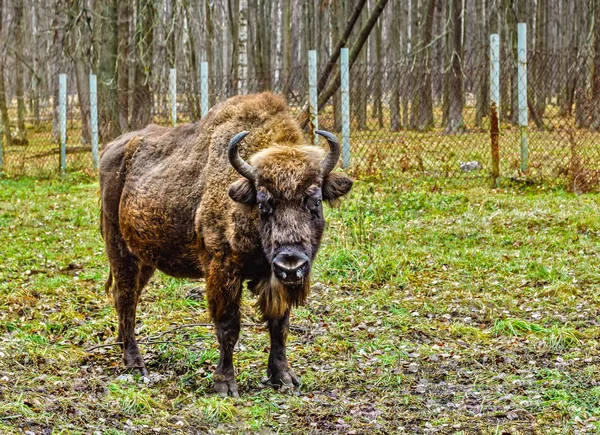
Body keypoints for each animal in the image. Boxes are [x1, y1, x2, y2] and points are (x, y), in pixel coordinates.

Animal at [98, 93, 352, 398]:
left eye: (314, 200)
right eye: (263, 203)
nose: (290, 265)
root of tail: (111, 149)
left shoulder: (274, 279)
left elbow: (279, 324)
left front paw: (283, 377)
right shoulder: (222, 271)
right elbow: (229, 327)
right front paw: (225, 384)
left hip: (145, 257)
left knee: (129, 296)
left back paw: (122, 345)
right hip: (119, 248)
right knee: (125, 297)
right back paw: (135, 363)